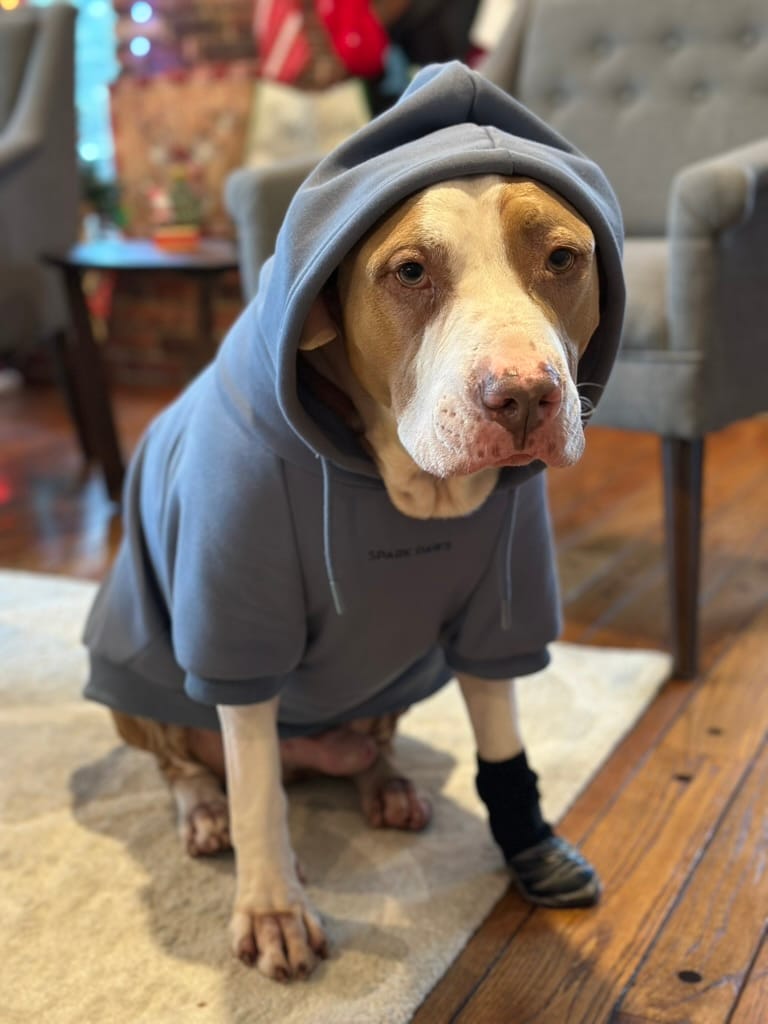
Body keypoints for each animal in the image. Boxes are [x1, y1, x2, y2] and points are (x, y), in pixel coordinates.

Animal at [105, 172, 606, 978]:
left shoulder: (503, 604)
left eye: (563, 258)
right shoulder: (236, 628)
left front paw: (532, 846)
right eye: (410, 272)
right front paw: (273, 907)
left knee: (368, 743)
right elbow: (256, 792)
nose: (526, 394)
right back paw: (207, 810)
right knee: (191, 768)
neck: (409, 485)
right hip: (141, 693)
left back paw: (385, 781)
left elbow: (502, 735)